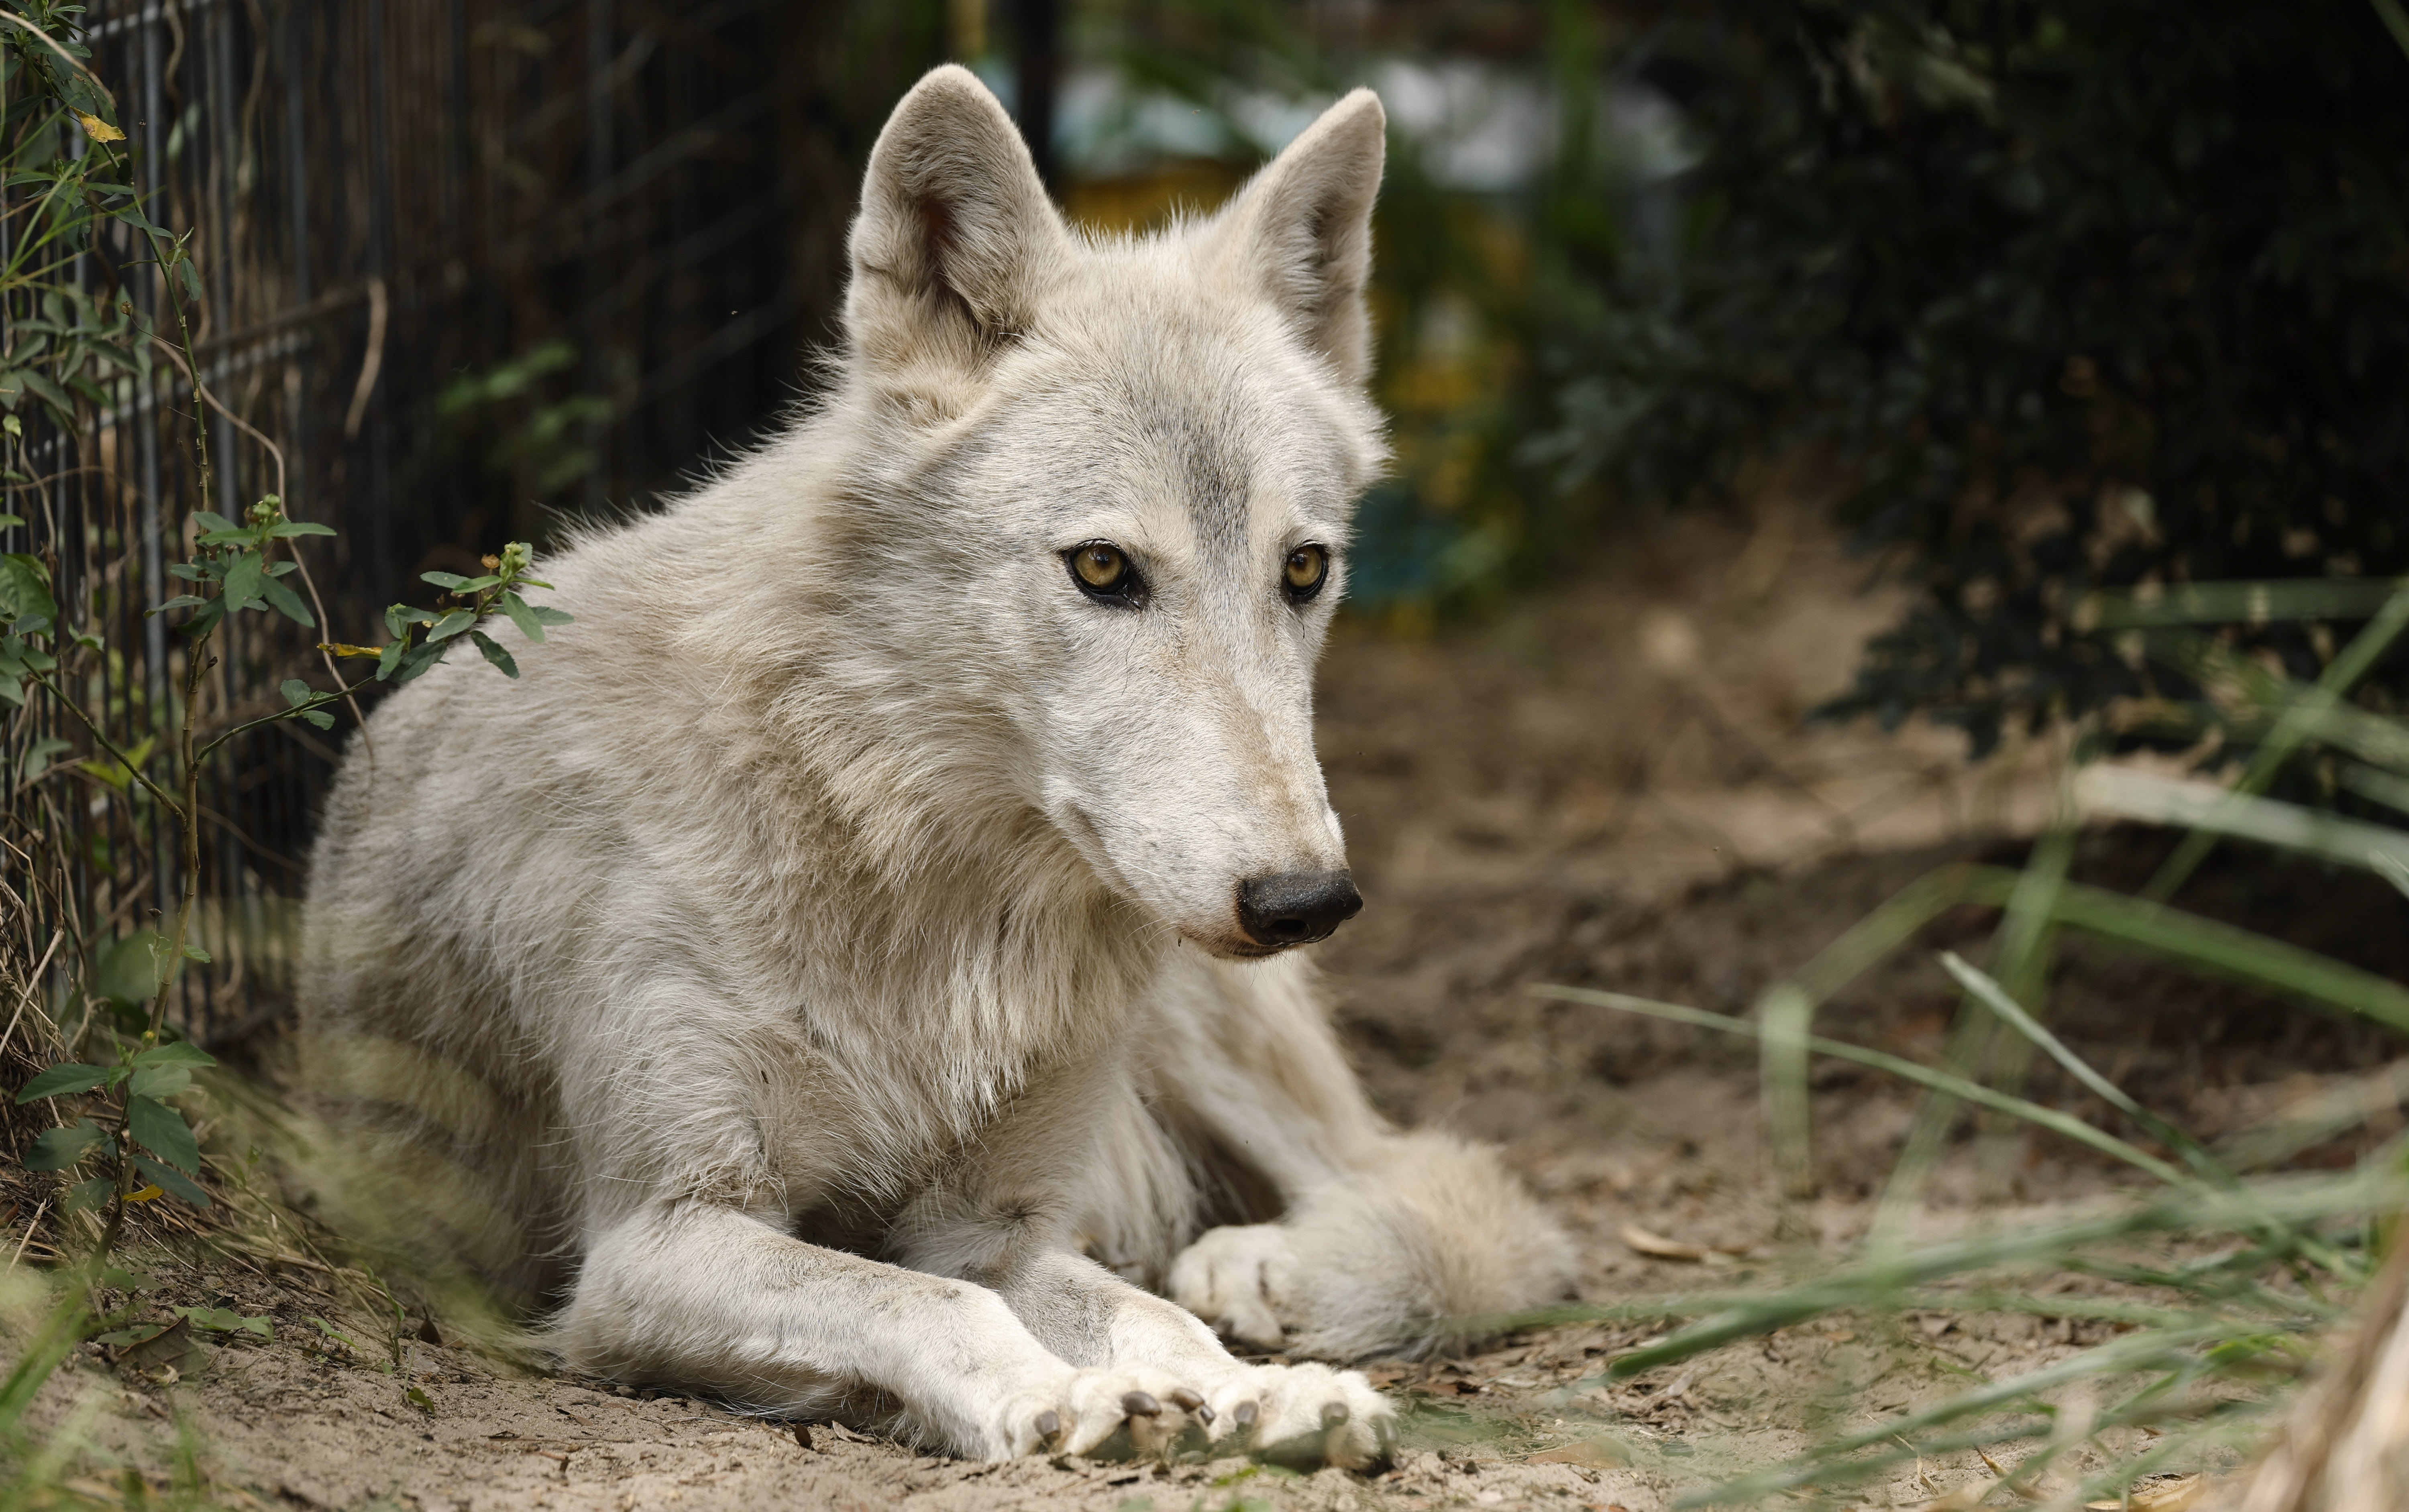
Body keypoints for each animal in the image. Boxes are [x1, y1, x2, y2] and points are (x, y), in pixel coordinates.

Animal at [298, 65, 1574, 1467]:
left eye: (1304, 568)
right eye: (1102, 567)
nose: (1307, 900)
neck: (921, 883)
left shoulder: (991, 1223)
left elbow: (1136, 1313)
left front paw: (1257, 1389)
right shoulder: (652, 1242)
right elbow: (926, 1301)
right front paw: (1068, 1397)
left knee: (1437, 1197)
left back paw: (1269, 1278)